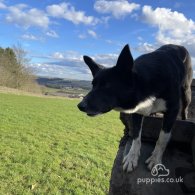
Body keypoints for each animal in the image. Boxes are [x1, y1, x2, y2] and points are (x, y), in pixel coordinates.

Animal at [77, 44, 193, 172]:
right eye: (93, 85)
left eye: (107, 86)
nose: (80, 106)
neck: (145, 82)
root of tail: (178, 46)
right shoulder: (137, 112)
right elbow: (136, 135)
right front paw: (132, 158)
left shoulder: (172, 110)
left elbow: (163, 138)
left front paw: (155, 159)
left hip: (186, 91)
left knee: (185, 108)